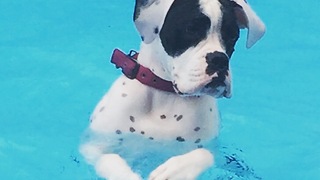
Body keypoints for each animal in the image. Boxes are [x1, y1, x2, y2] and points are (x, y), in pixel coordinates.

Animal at [80, 0, 264, 179]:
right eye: (191, 29)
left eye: (232, 36)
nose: (220, 60)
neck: (165, 96)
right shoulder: (92, 146)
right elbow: (108, 157)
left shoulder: (213, 150)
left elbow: (204, 154)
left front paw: (177, 169)